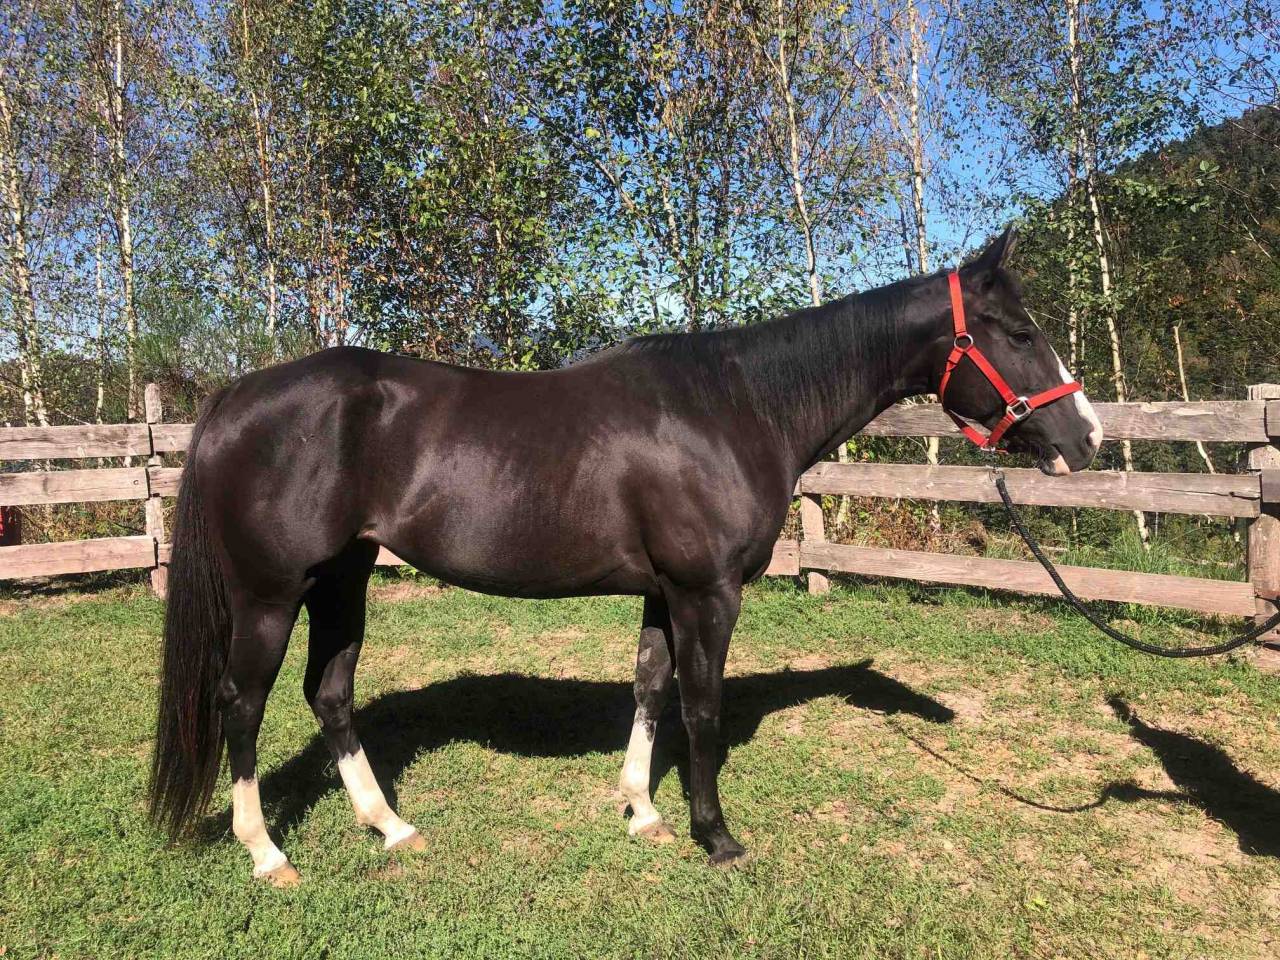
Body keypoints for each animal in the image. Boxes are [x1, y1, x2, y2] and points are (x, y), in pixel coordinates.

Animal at [148, 227, 1102, 884]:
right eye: (1018, 331)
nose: (1086, 438)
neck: (737, 405)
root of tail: (236, 396)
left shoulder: (662, 592)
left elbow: (649, 689)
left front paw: (642, 811)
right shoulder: (707, 594)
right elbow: (703, 711)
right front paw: (716, 836)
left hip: (342, 580)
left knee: (330, 694)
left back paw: (389, 825)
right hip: (271, 594)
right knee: (241, 705)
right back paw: (267, 854)